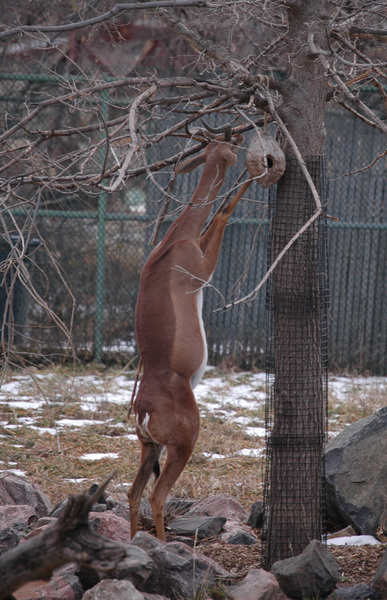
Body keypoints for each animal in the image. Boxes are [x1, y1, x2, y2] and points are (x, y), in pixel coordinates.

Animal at [129, 124, 252, 540]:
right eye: (227, 147)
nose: (240, 143)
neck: (175, 240)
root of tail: (143, 409)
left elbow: (216, 215)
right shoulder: (202, 268)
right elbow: (224, 211)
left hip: (150, 447)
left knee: (133, 494)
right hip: (182, 444)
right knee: (156, 496)